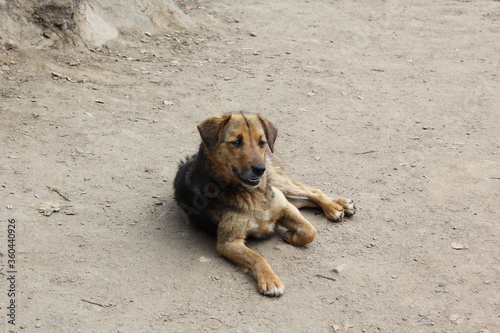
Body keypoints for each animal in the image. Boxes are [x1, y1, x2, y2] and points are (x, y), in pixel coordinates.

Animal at [174, 112, 354, 296]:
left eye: (261, 142)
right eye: (236, 142)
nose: (260, 169)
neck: (252, 195)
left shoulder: (284, 208)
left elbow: (309, 231)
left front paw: (291, 236)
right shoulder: (228, 242)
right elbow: (257, 257)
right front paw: (270, 280)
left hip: (278, 182)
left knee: (313, 190)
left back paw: (336, 206)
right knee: (303, 199)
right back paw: (340, 206)